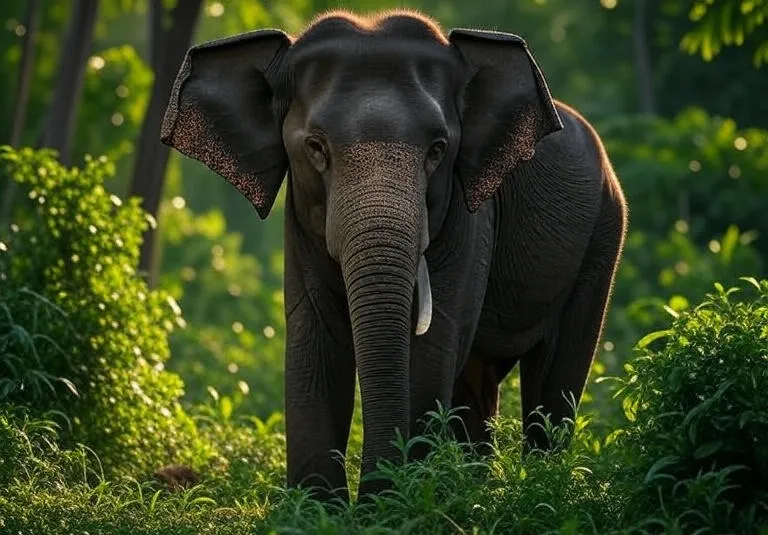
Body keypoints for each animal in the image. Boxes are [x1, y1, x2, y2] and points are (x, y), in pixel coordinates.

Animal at [160, 9, 627, 500]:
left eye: (438, 149)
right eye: (315, 147)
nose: (378, 488)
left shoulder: (470, 213)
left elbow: (432, 345)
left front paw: (389, 504)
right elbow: (315, 338)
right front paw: (319, 508)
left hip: (603, 238)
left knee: (554, 379)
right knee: (477, 385)